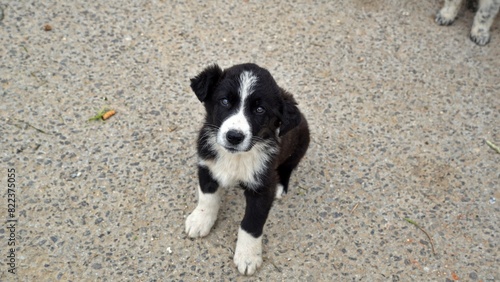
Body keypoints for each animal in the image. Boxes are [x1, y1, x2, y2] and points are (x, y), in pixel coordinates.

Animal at [185, 62, 308, 274]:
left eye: (259, 109)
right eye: (225, 101)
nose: (234, 136)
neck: (235, 157)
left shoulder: (262, 189)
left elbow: (251, 223)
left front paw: (248, 257)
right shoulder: (207, 165)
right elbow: (207, 198)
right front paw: (200, 220)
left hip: (301, 143)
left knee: (289, 166)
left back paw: (281, 186)